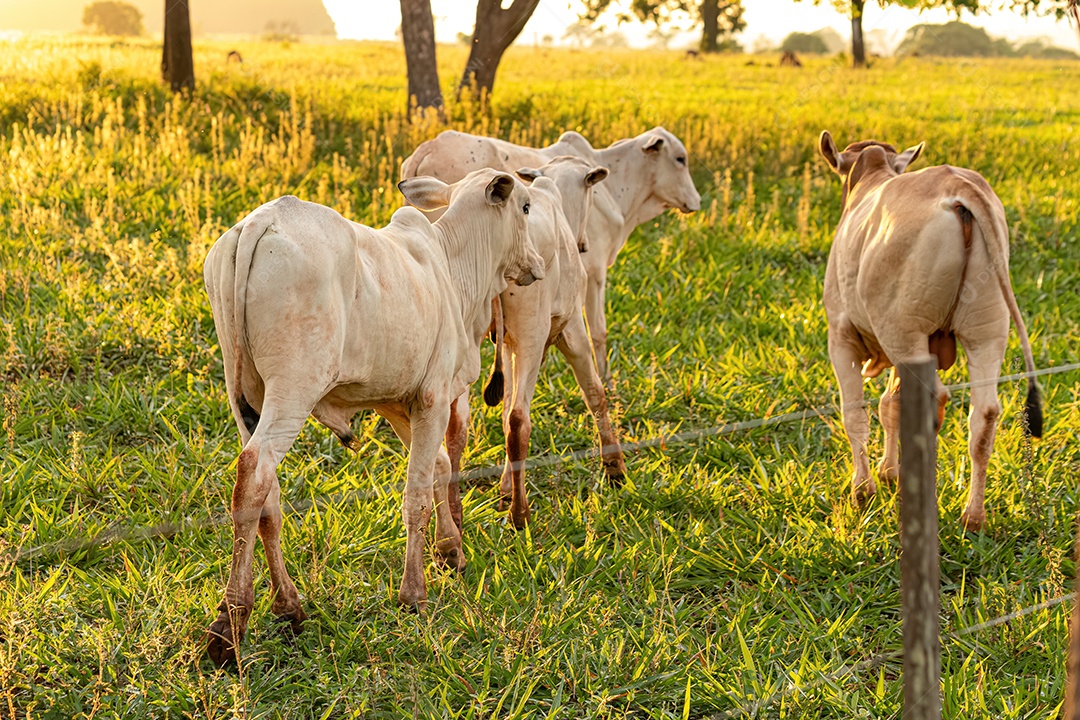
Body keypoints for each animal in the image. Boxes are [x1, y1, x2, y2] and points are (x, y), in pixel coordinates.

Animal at [200, 169, 545, 665]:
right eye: (525, 207)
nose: (537, 264)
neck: (453, 268)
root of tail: (259, 222)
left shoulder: (399, 401)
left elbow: (440, 466)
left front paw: (451, 552)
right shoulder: (433, 396)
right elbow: (417, 493)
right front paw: (414, 593)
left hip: (243, 393)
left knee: (268, 499)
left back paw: (288, 606)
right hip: (293, 388)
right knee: (254, 474)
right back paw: (229, 627)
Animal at [401, 127, 701, 385]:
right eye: (680, 159)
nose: (697, 201)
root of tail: (427, 147)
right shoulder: (594, 273)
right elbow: (599, 331)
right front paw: (606, 379)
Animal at [467, 156, 627, 529]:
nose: (583, 243)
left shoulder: (510, 344)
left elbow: (504, 409)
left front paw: (503, 489)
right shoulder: (570, 331)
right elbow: (595, 393)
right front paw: (614, 469)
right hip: (532, 331)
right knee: (518, 421)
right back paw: (520, 514)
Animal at [818, 131, 1042, 531]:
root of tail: (957, 184)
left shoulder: (841, 335)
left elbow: (855, 412)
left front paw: (864, 490)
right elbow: (888, 405)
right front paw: (888, 471)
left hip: (903, 333)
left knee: (931, 401)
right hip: (985, 329)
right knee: (984, 413)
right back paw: (973, 516)